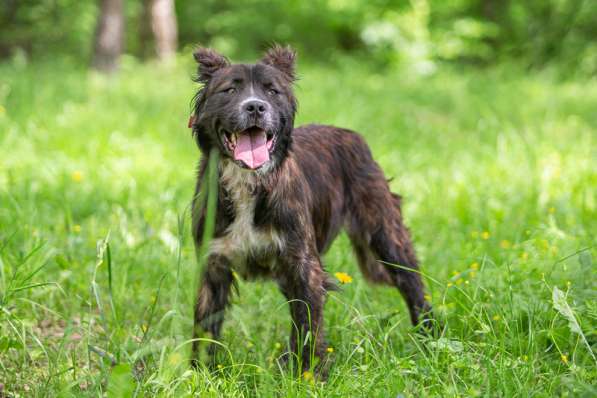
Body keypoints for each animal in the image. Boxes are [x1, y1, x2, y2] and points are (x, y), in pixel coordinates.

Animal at [189, 45, 430, 374]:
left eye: (272, 91)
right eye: (230, 90)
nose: (255, 107)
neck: (250, 183)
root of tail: (352, 135)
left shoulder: (303, 266)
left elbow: (308, 326)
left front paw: (309, 375)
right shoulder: (213, 263)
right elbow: (205, 327)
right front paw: (198, 374)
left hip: (386, 234)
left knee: (413, 286)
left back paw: (431, 340)